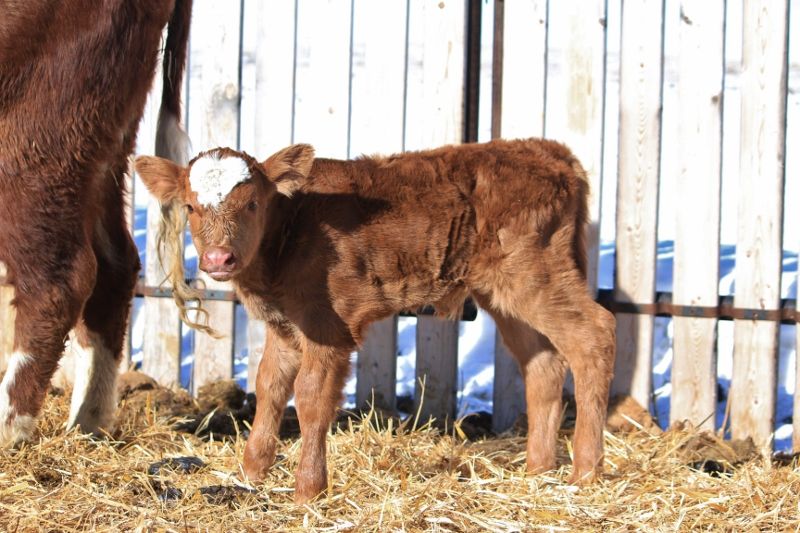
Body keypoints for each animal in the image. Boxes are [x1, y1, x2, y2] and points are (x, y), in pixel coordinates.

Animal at [0, 0, 192, 446]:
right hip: (104, 145)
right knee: (116, 265)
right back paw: (89, 420)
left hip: (39, 131)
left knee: (59, 280)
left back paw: (9, 428)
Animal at [135, 139, 617, 503]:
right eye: (191, 207)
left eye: (253, 203)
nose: (219, 258)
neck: (291, 229)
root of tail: (550, 151)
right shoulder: (286, 327)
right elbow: (269, 386)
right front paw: (251, 472)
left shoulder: (328, 327)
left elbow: (310, 398)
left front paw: (308, 490)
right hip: (504, 293)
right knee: (544, 363)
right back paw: (538, 469)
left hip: (536, 272)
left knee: (595, 335)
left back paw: (585, 471)